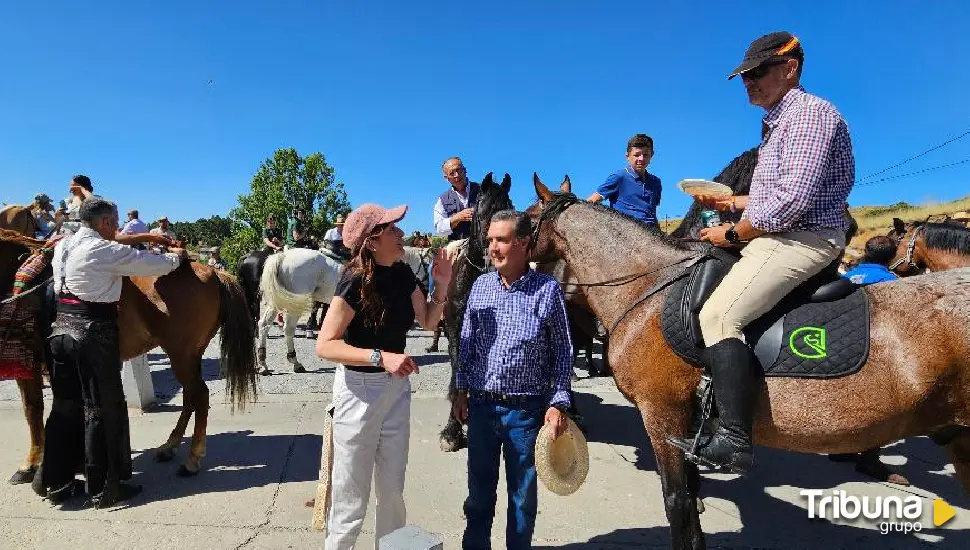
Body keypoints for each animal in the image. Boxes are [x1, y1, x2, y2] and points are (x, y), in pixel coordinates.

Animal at [0, 205, 258, 480]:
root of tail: (213, 271)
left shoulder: (29, 364)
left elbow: (33, 409)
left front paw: (31, 464)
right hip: (190, 354)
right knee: (191, 396)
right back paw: (169, 446)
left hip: (181, 353)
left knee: (198, 394)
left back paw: (191, 459)